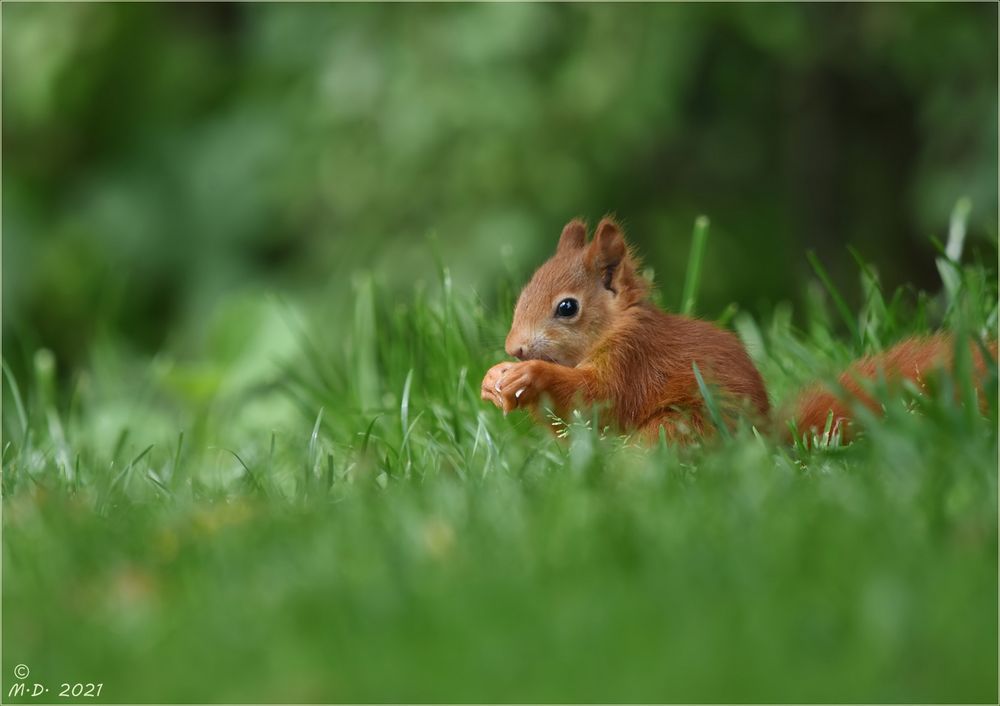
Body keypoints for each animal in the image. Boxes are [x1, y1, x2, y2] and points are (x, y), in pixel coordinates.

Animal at [480, 217, 996, 442]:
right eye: (524, 291)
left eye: (567, 308)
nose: (515, 348)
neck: (614, 329)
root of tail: (768, 444)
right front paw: (493, 380)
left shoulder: (633, 359)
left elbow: (597, 399)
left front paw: (532, 377)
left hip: (677, 428)